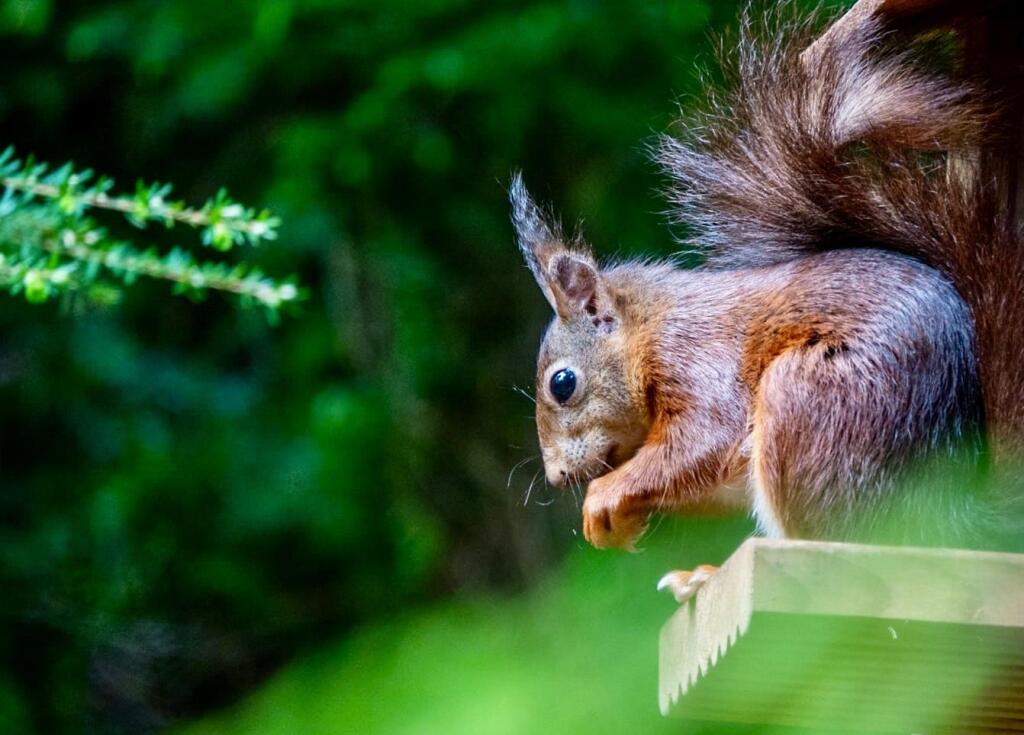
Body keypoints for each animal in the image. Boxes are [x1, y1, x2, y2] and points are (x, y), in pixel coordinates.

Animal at [511, 0, 1023, 601]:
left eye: (562, 384)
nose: (557, 478)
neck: (649, 327)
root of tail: (947, 510)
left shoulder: (695, 357)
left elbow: (703, 441)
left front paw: (603, 498)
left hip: (812, 403)